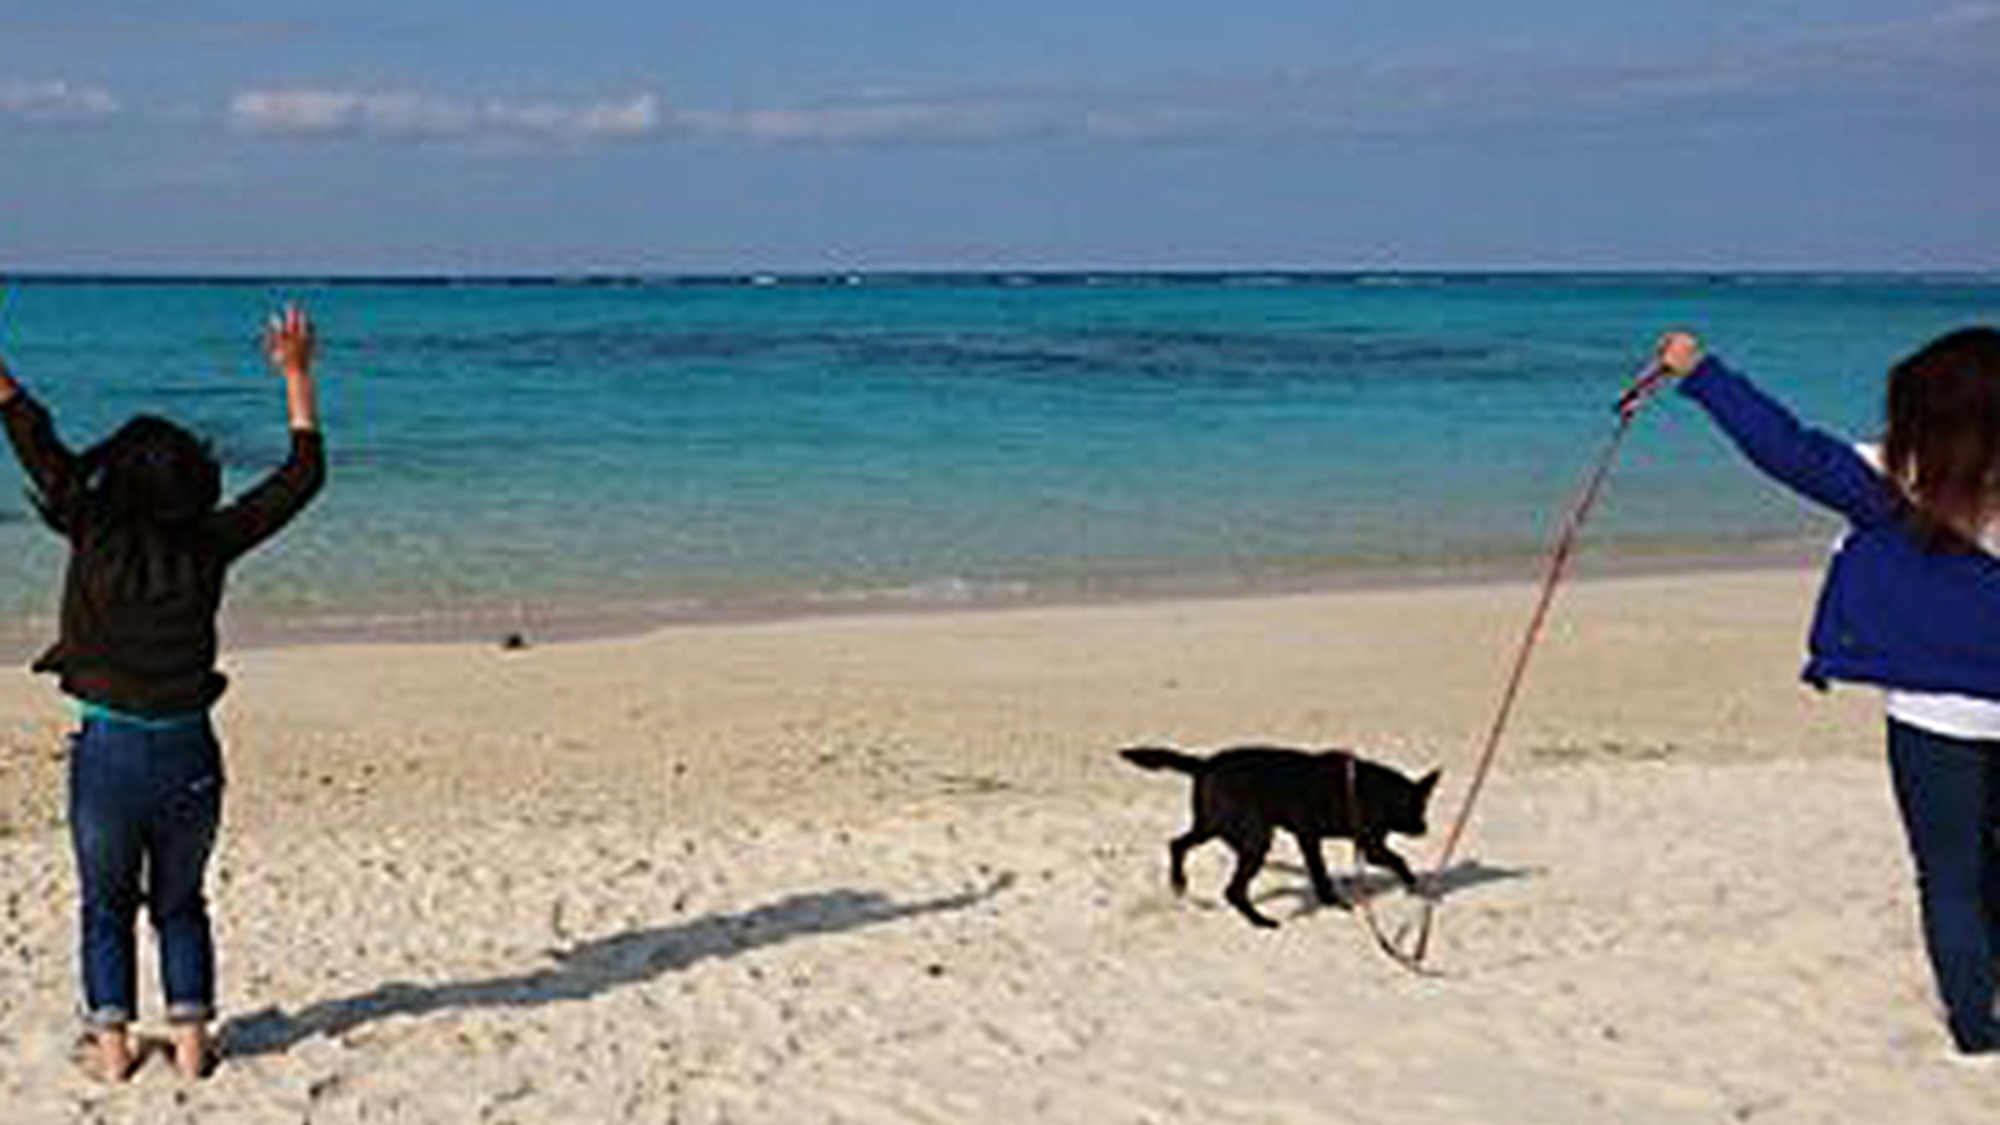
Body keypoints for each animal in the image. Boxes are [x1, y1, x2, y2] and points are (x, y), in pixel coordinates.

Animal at [1128, 744, 1440, 920]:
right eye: (1417, 807)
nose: (1424, 828)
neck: (1368, 789)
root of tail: (1205, 763)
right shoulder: (1361, 843)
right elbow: (1397, 860)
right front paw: (1416, 885)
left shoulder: (1327, 839)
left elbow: (1320, 873)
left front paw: (1331, 901)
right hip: (1253, 838)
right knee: (1232, 890)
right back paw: (1261, 922)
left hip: (1212, 824)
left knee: (1177, 844)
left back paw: (1179, 882)